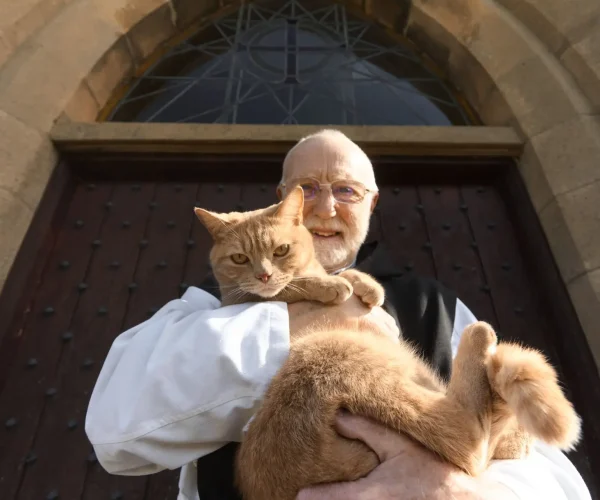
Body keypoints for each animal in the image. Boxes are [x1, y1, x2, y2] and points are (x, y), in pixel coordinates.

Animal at [195, 186, 580, 500]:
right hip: (331, 356)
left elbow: (340, 273)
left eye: (281, 250)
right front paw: (330, 285)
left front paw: (364, 285)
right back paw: (480, 338)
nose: (263, 275)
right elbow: (295, 286)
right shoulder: (240, 301)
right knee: (470, 442)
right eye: (240, 258)